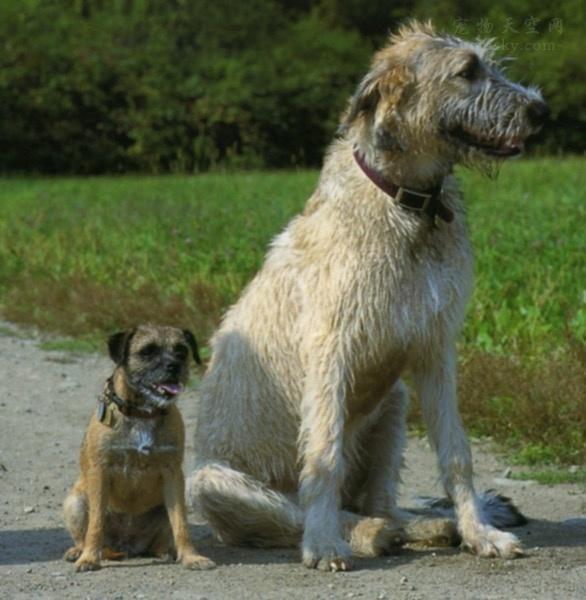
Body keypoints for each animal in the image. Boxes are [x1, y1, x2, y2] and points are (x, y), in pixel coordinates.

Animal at [62, 324, 213, 572]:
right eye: (147, 351)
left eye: (181, 351)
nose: (174, 366)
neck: (143, 412)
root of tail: (128, 546)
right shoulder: (100, 472)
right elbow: (95, 524)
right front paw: (89, 558)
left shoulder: (173, 474)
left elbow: (181, 524)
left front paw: (192, 557)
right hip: (74, 502)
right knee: (83, 535)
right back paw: (78, 551)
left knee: (163, 537)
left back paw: (168, 552)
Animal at [188, 22, 548, 572]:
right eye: (467, 71)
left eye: (489, 64)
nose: (540, 110)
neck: (407, 203)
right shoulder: (329, 351)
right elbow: (323, 456)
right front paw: (322, 544)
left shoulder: (435, 346)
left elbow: (456, 453)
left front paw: (479, 532)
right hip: (212, 482)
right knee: (299, 510)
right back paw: (361, 533)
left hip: (394, 402)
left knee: (380, 499)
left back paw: (422, 526)